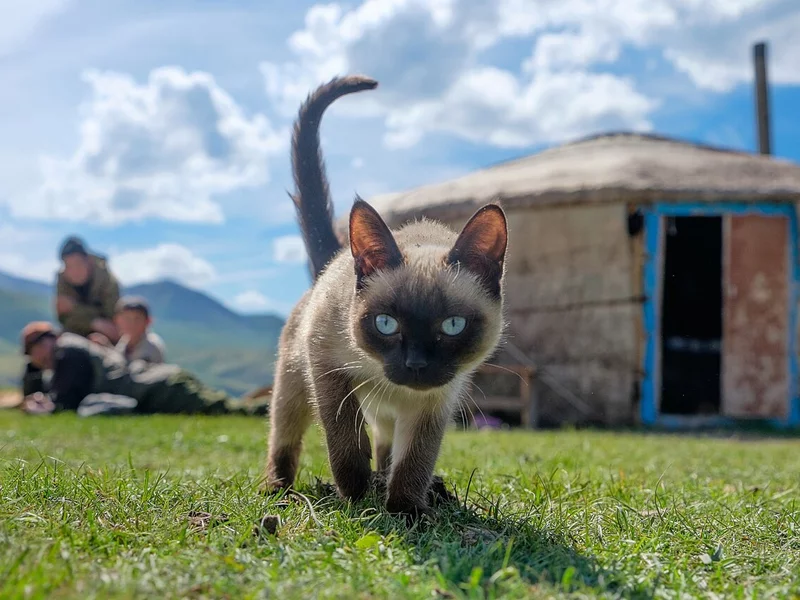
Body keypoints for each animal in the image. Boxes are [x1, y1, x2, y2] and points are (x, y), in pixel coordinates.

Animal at [266, 74, 510, 516]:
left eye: (453, 325)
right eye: (385, 323)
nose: (415, 365)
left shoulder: (434, 403)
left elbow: (414, 460)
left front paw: (405, 511)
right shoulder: (328, 370)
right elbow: (344, 440)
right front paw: (355, 495)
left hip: (388, 410)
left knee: (385, 446)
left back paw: (394, 484)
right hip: (294, 385)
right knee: (284, 438)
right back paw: (279, 491)